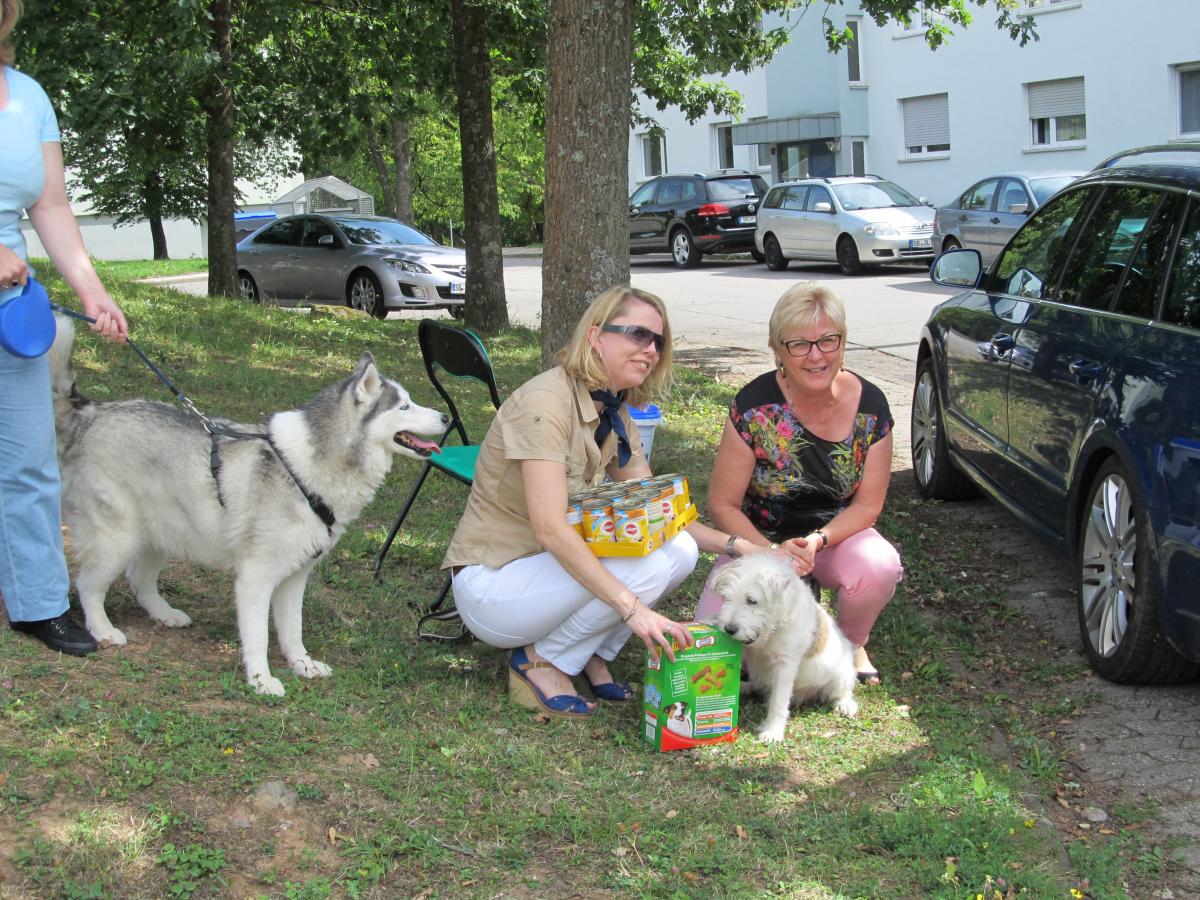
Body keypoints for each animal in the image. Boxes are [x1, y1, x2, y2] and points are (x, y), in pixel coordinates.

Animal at [48, 316, 451, 696]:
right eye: (404, 406)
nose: (447, 417)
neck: (308, 470)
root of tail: (90, 412)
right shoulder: (256, 578)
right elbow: (258, 637)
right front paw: (261, 681)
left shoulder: (295, 577)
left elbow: (292, 631)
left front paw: (302, 664)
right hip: (114, 540)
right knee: (88, 586)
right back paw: (102, 629)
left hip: (159, 534)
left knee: (140, 578)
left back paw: (164, 614)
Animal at [705, 554, 859, 744]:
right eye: (727, 598)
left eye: (752, 601)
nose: (729, 629)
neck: (773, 630)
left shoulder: (785, 665)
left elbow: (778, 701)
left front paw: (773, 731)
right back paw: (743, 687)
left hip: (841, 674)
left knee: (842, 691)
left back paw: (845, 704)